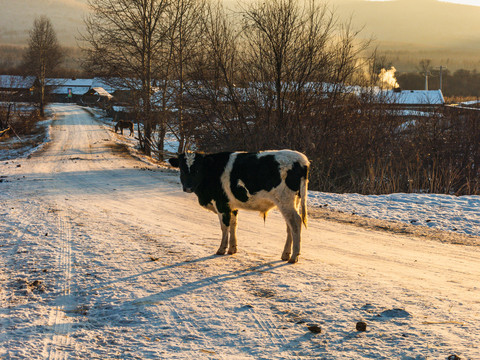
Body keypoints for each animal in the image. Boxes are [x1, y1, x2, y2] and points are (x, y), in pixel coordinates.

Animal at [169, 150, 312, 264]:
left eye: (198, 169)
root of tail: (301, 159)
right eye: (182, 169)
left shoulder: (221, 204)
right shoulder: (231, 205)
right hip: (292, 202)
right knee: (289, 226)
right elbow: (234, 224)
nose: (188, 187)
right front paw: (232, 248)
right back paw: (285, 255)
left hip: (286, 201)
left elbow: (224, 226)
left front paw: (221, 249)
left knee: (295, 223)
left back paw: (294, 257)